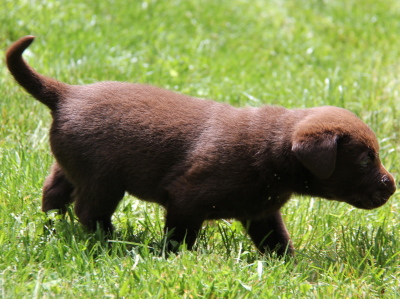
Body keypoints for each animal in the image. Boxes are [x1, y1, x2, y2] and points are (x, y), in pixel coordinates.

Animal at [6, 36, 396, 256]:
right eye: (366, 160)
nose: (391, 186)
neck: (270, 153)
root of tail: (66, 95)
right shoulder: (185, 200)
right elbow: (179, 238)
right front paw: (171, 258)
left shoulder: (262, 213)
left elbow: (278, 242)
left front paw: (291, 266)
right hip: (103, 179)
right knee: (90, 210)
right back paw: (112, 242)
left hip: (73, 165)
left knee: (54, 193)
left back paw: (54, 226)